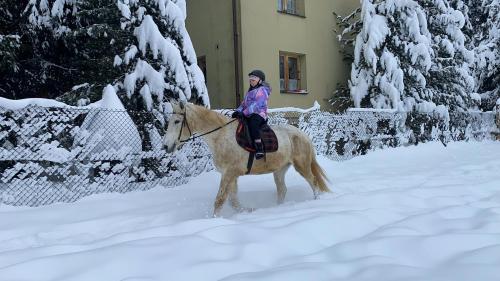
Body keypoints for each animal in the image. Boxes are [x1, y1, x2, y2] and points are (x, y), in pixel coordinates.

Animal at [162, 101, 330, 215]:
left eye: (177, 121)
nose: (165, 146)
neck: (221, 136)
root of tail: (303, 135)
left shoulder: (229, 173)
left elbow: (220, 200)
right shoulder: (231, 175)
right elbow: (232, 200)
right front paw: (248, 210)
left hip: (302, 165)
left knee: (313, 182)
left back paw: (316, 201)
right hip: (280, 170)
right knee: (282, 190)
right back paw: (278, 207)